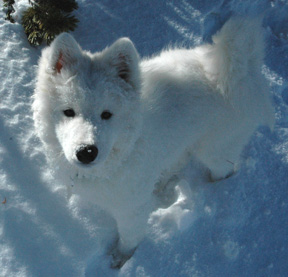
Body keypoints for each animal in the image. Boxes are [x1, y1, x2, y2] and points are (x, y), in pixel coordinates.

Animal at [32, 16, 274, 266]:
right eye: (68, 112)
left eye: (107, 114)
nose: (86, 152)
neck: (126, 148)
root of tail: (239, 71)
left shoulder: (132, 208)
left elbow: (130, 236)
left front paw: (121, 260)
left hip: (216, 149)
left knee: (224, 170)